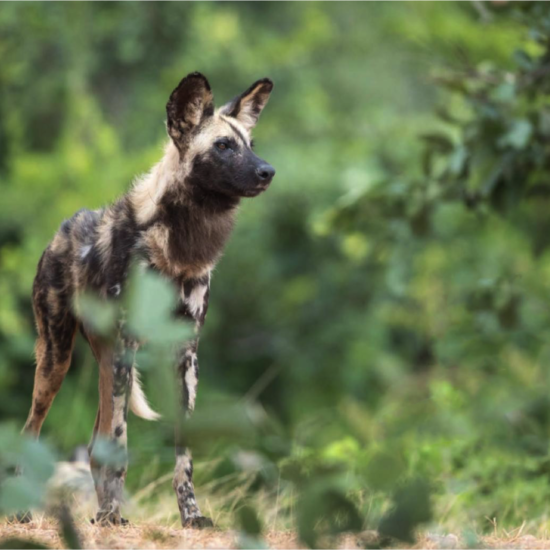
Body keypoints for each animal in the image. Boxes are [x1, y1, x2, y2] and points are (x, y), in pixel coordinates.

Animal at [22, 71, 276, 528]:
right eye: (223, 146)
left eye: (250, 143)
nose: (268, 171)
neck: (179, 243)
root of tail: (62, 229)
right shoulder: (127, 346)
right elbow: (121, 445)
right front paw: (113, 513)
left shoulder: (185, 355)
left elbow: (182, 456)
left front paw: (191, 515)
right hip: (57, 361)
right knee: (32, 432)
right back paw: (32, 512)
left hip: (104, 362)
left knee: (95, 446)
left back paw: (104, 513)